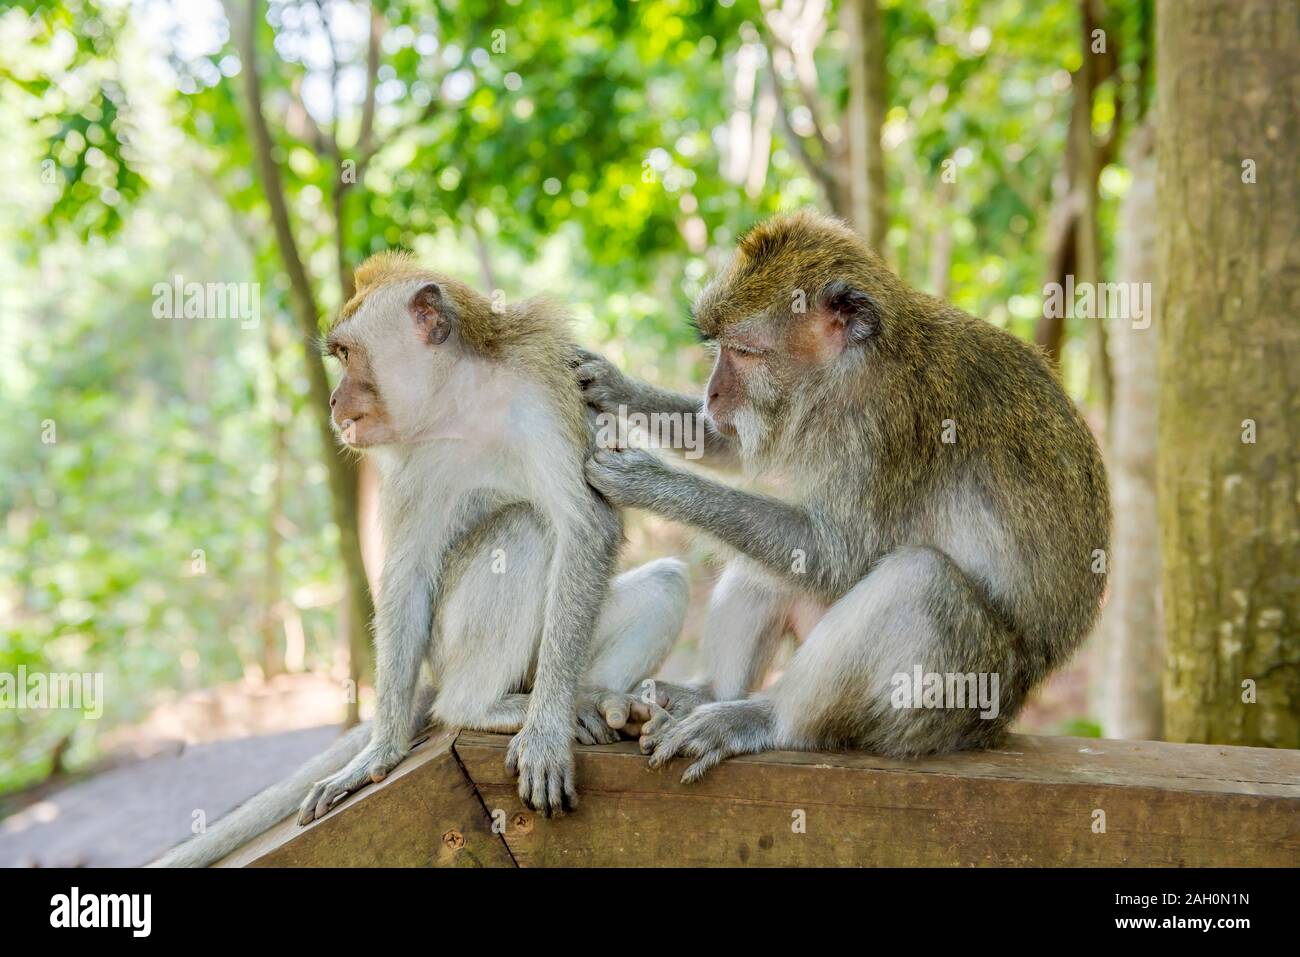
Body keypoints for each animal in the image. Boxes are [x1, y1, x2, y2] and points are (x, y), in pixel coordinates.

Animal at [154, 254, 691, 868]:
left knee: (658, 578)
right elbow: (407, 575)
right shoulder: (410, 458)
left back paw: (591, 701)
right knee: (524, 529)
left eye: (347, 354)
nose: (334, 401)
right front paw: (379, 750)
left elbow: (586, 526)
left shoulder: (543, 392)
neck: (464, 398)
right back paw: (477, 708)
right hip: (447, 649)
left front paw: (548, 730)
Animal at [585, 209, 1112, 780]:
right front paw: (616, 386)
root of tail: (1006, 716)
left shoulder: (889, 426)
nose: (713, 394)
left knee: (921, 580)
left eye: (744, 352)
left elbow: (838, 556)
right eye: (719, 347)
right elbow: (734, 449)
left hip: (950, 704)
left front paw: (650, 481)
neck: (851, 370)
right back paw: (706, 692)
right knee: (771, 561)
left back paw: (766, 720)